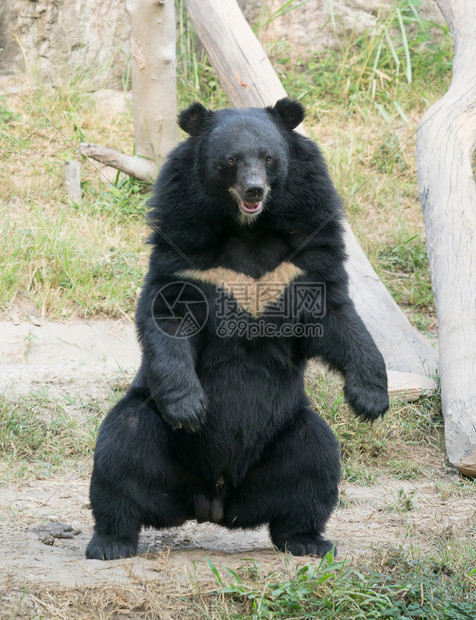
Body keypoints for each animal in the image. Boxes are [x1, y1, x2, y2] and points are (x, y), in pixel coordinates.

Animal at [86, 98, 386, 560]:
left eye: (268, 158)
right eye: (230, 160)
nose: (254, 191)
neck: (248, 230)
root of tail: (214, 501)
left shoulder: (304, 253)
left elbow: (336, 317)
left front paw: (370, 399)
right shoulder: (186, 247)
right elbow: (169, 314)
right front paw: (191, 408)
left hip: (289, 428)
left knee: (315, 462)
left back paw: (308, 540)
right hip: (149, 422)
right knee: (121, 454)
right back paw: (110, 543)